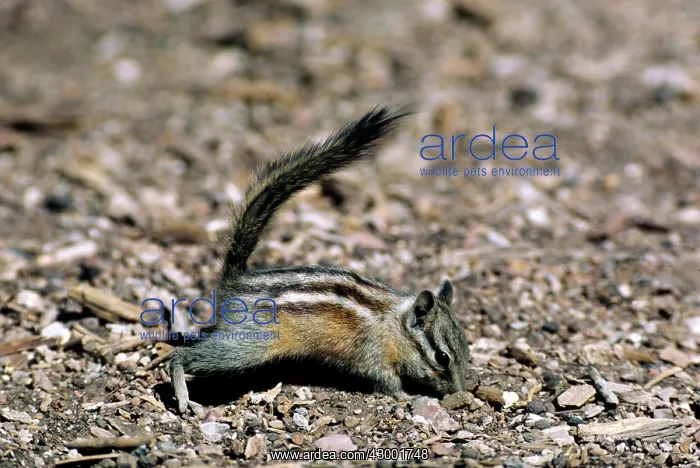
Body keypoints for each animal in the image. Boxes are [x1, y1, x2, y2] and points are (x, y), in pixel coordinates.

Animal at [169, 107, 471, 414]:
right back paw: (183, 397)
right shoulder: (373, 354)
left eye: (467, 349)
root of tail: (235, 278)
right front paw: (407, 396)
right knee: (181, 356)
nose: (459, 391)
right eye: (443, 357)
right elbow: (386, 381)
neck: (393, 323)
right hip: (248, 345)